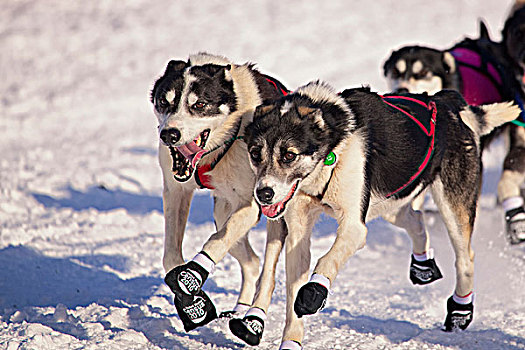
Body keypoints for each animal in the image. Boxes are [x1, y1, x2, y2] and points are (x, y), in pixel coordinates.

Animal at [149, 52, 288, 330]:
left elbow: (216, 241)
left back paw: (253, 319)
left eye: (200, 104)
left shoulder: (251, 206)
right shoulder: (176, 191)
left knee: (267, 273)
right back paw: (239, 310)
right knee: (252, 262)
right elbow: (170, 256)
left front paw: (193, 273)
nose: (170, 134)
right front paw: (191, 303)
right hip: (222, 213)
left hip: (273, 217)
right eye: (164, 101)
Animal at [238, 81, 520, 348]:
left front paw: (314, 292)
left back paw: (461, 310)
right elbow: (293, 292)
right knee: (416, 219)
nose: (263, 193)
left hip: (452, 206)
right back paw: (423, 265)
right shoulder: (298, 230)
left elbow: (327, 261)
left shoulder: (354, 227)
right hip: (391, 204)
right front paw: (290, 341)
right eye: (255, 153)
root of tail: (449, 104)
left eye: (289, 155)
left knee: (465, 258)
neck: (333, 151)